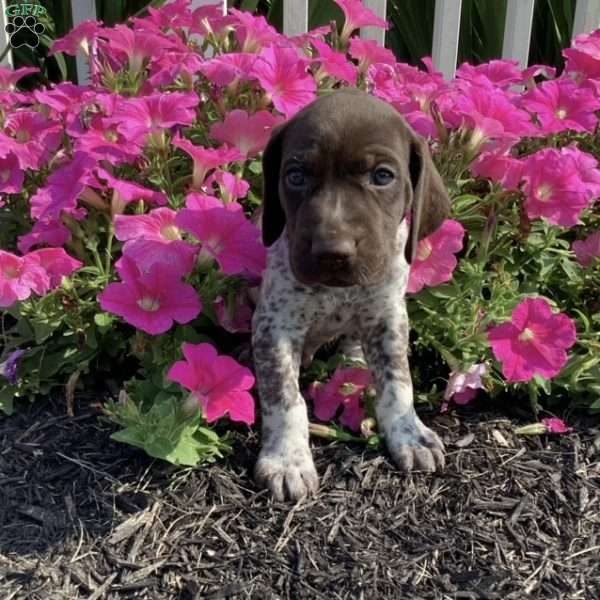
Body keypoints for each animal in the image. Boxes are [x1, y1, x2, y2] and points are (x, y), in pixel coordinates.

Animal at [250, 89, 450, 502]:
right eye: (295, 176)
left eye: (382, 176)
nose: (332, 251)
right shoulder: (273, 328)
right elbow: (285, 398)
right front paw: (287, 459)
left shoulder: (388, 317)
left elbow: (398, 384)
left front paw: (409, 433)